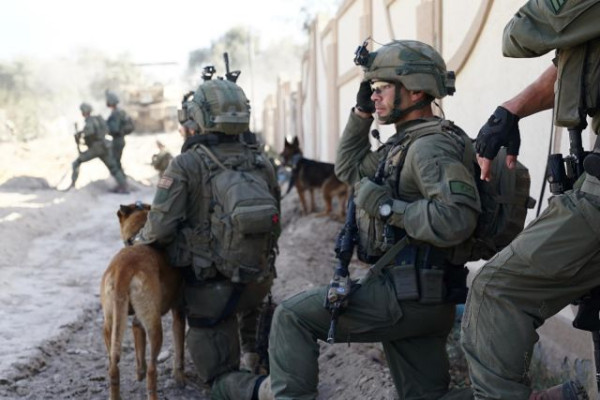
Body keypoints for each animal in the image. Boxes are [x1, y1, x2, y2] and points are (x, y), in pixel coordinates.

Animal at [99, 203, 184, 400]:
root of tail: (123, 269)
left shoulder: (137, 323)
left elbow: (139, 349)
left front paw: (139, 372)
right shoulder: (178, 312)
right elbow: (179, 350)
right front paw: (180, 376)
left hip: (110, 325)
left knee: (113, 366)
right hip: (155, 328)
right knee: (153, 369)